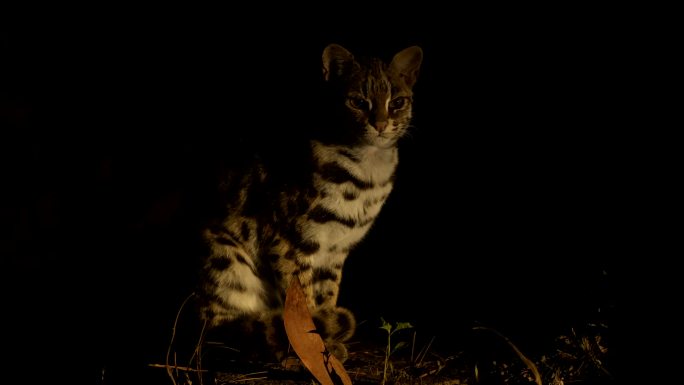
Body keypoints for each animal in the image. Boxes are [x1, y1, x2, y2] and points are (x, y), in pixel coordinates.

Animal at [195, 42, 422, 364]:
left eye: (398, 102)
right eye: (357, 101)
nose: (379, 124)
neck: (368, 168)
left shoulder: (336, 250)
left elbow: (326, 295)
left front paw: (326, 344)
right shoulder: (289, 242)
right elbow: (301, 302)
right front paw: (312, 351)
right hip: (226, 260)